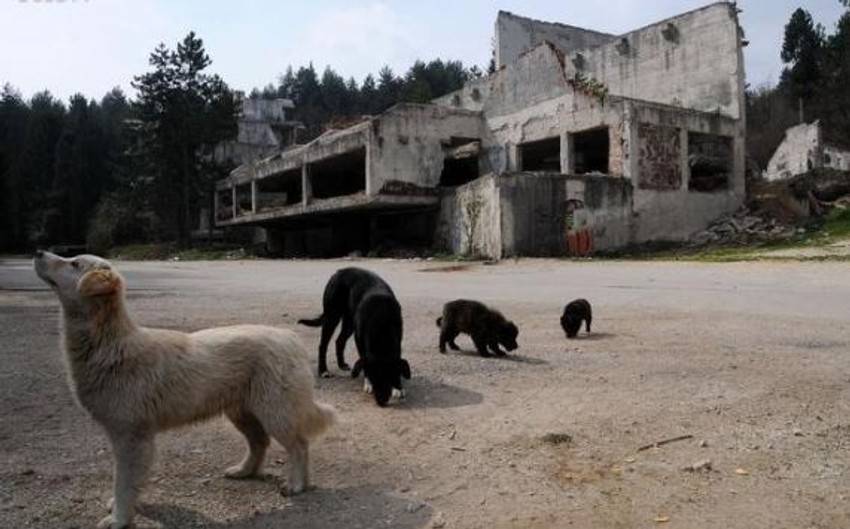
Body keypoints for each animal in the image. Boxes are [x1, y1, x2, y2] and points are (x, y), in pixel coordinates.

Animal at [33, 251, 336, 529]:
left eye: (74, 263)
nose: (38, 252)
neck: (110, 344)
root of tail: (290, 338)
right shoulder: (135, 438)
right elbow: (134, 481)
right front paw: (127, 507)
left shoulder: (131, 436)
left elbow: (123, 481)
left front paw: (119, 518)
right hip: (242, 413)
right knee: (260, 442)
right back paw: (244, 471)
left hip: (275, 412)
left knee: (299, 445)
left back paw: (296, 485)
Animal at [298, 267, 410, 407]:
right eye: (374, 378)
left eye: (389, 377)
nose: (381, 402)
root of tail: (339, 271)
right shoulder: (359, 340)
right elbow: (364, 361)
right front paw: (368, 383)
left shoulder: (398, 338)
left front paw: (398, 387)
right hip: (332, 316)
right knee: (323, 345)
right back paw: (323, 370)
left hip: (349, 321)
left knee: (339, 341)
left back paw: (341, 364)